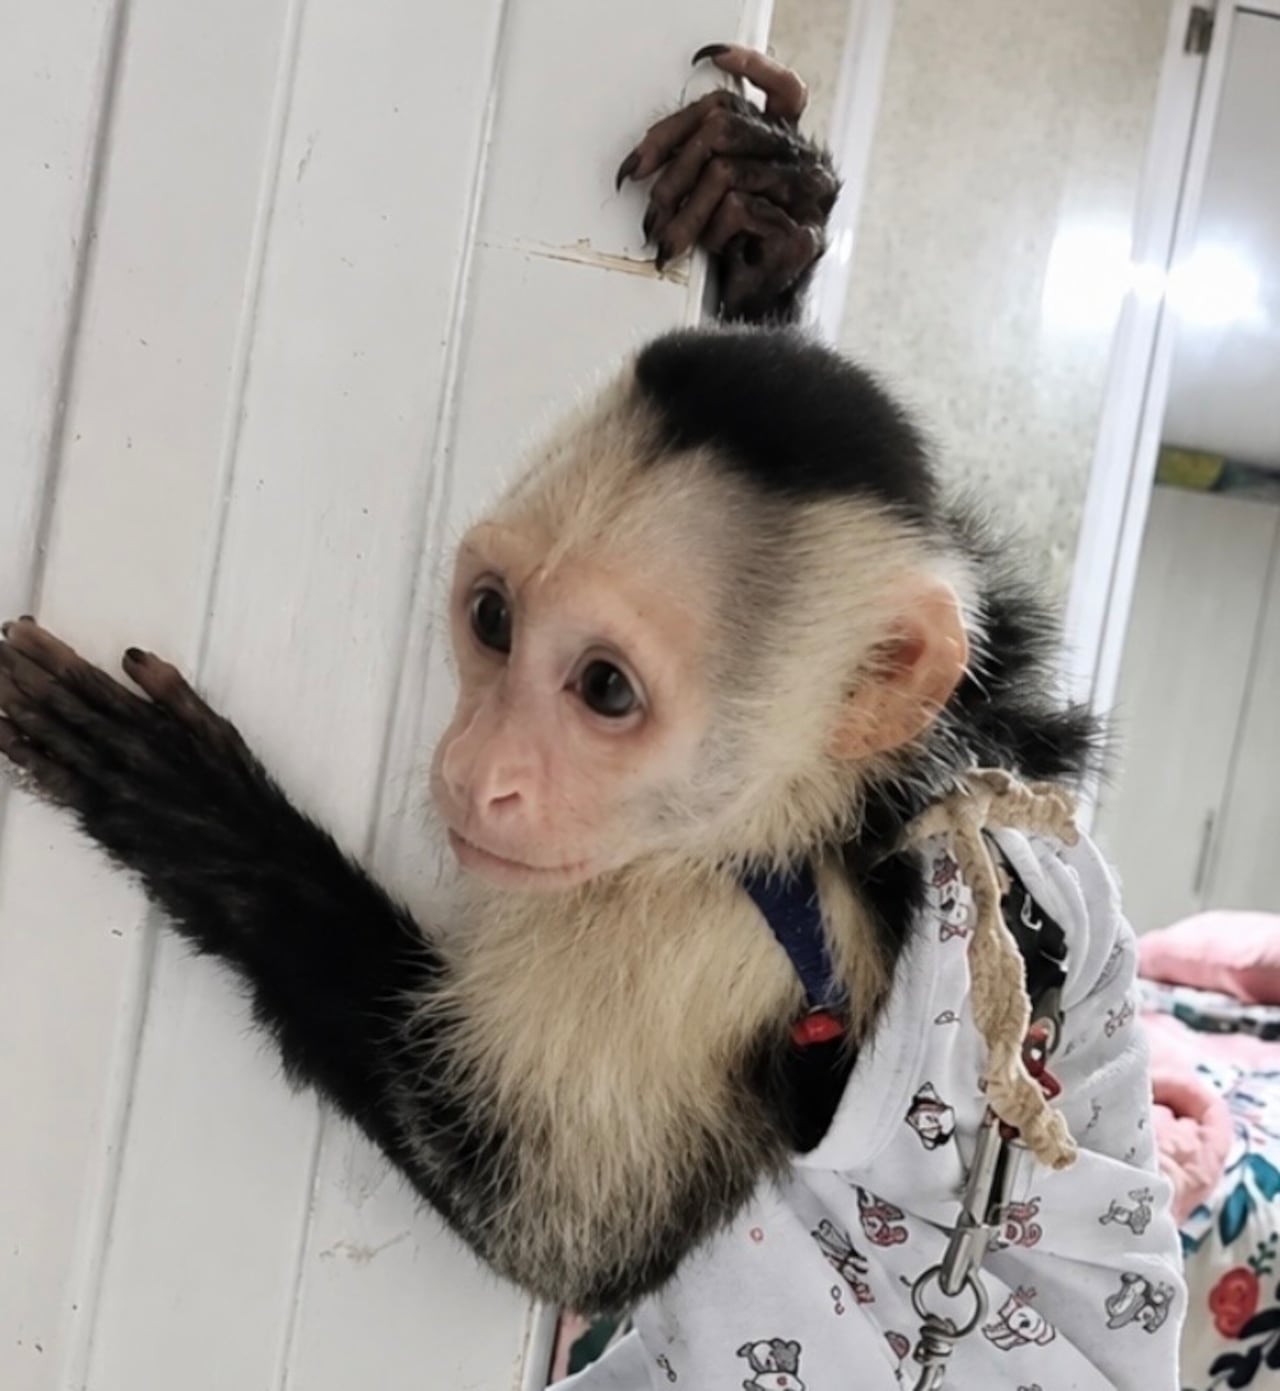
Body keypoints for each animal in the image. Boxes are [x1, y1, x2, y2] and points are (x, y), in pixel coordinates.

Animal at [0, 326, 1184, 1387]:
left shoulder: (710, 936)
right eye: (491, 617)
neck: (840, 814)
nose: (475, 770)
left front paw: (191, 809)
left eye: (604, 688)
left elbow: (562, 1231)